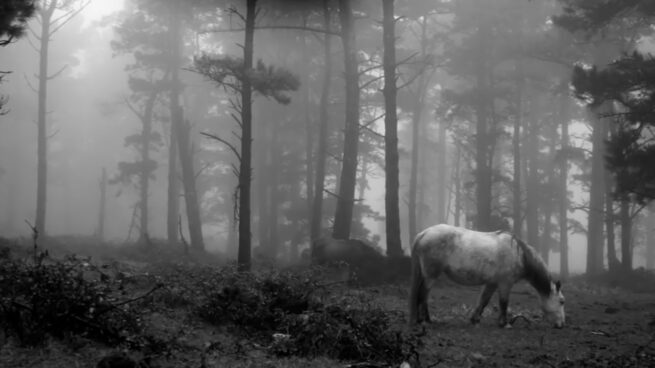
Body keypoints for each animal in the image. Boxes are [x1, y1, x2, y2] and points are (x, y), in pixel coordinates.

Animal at [408, 224, 568, 328]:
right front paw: (505, 323)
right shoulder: (505, 283)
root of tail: (424, 233)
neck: (519, 255)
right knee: (423, 294)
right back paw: (424, 320)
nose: (561, 324)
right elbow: (503, 302)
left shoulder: (492, 283)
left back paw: (426, 319)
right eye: (561, 301)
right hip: (431, 276)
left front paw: (475, 319)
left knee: (423, 295)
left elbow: (483, 300)